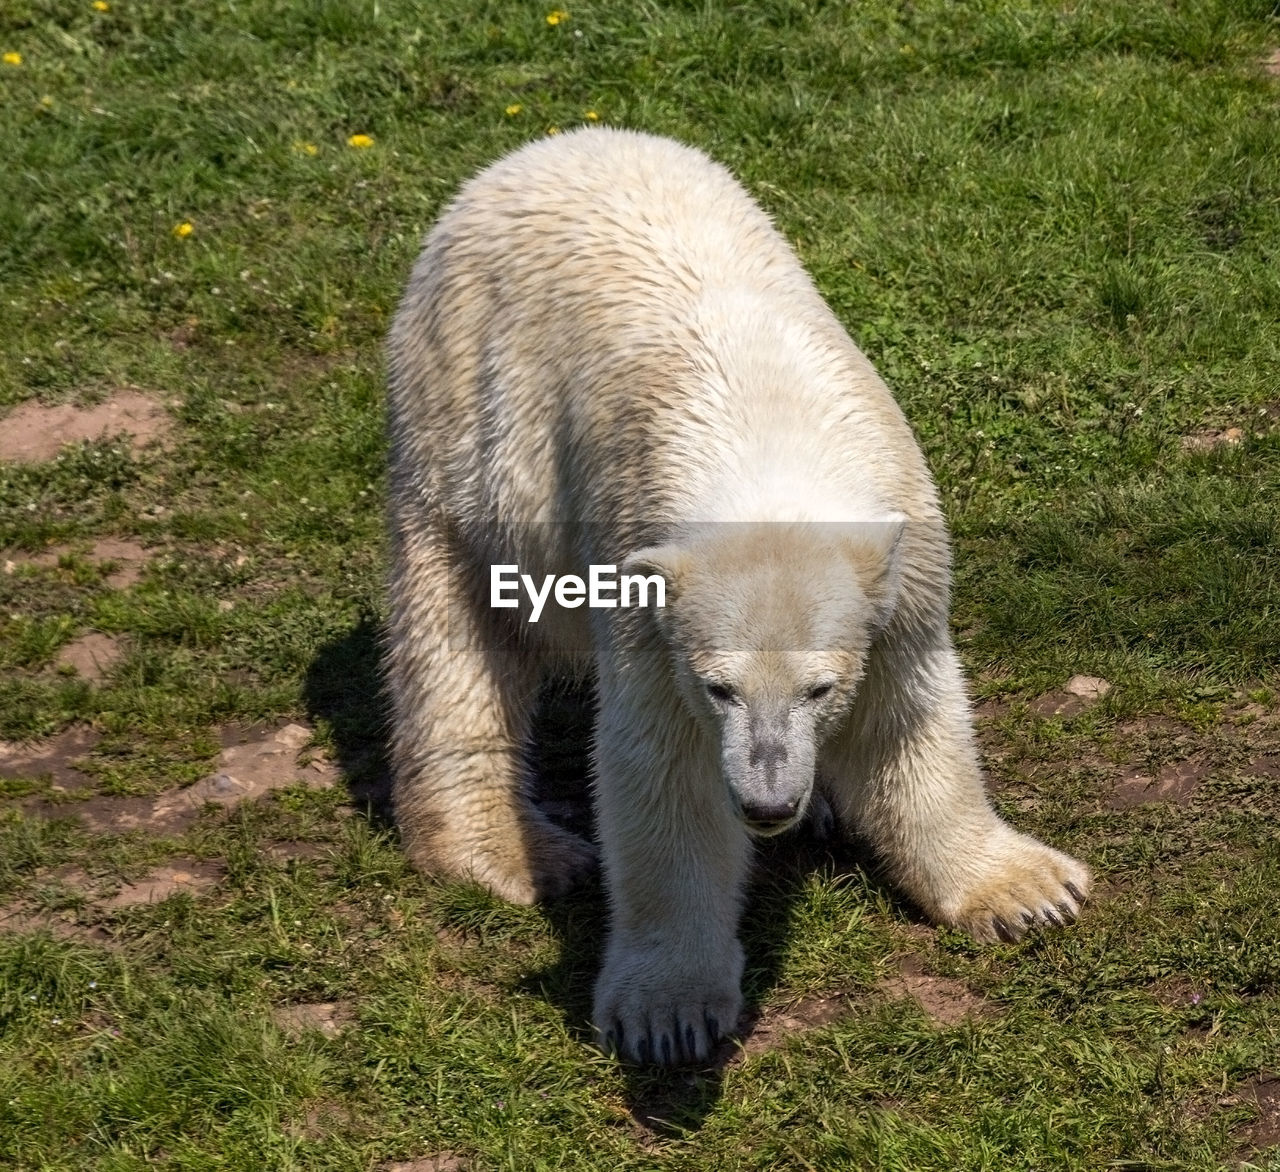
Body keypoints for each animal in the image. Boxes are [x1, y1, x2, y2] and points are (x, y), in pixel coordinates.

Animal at [381, 126, 1090, 1064]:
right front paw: (668, 1012)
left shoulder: (904, 564)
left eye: (819, 688)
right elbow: (662, 774)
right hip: (459, 421)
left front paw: (1029, 890)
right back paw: (511, 850)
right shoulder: (641, 594)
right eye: (721, 688)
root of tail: (548, 144)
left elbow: (908, 720)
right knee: (455, 632)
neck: (765, 434)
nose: (765, 802)